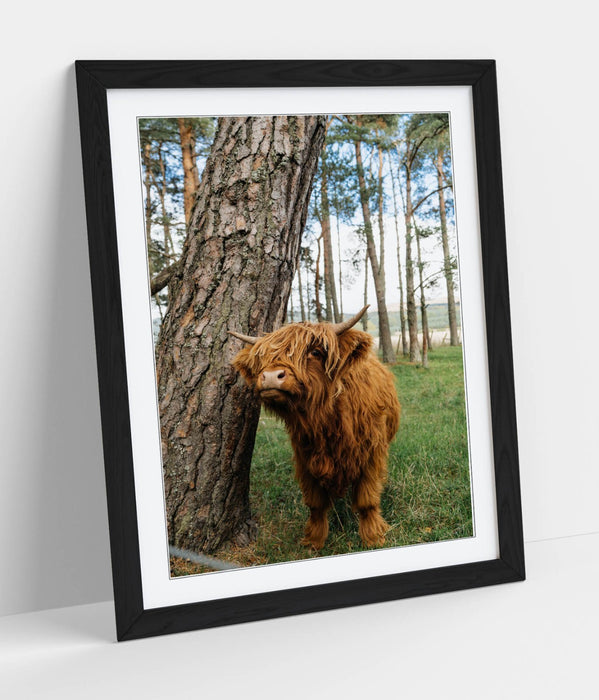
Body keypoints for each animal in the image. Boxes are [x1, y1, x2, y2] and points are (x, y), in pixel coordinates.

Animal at [230, 306, 400, 550]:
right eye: (263, 358)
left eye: (316, 352)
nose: (271, 376)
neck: (325, 421)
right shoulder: (305, 457)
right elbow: (315, 503)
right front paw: (314, 540)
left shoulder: (371, 454)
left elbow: (367, 499)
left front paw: (373, 537)